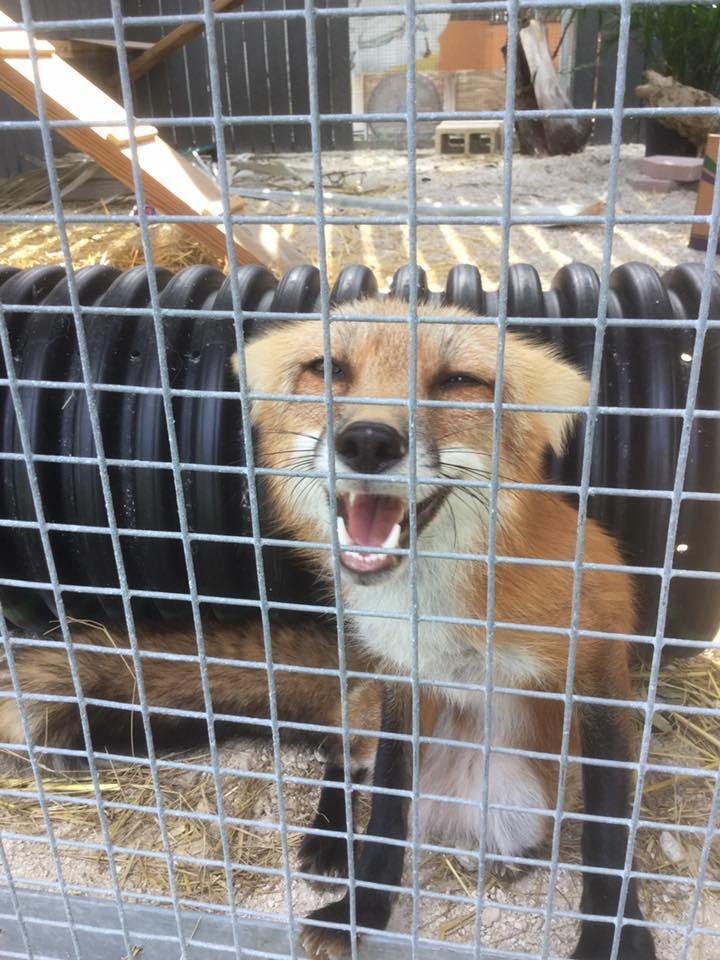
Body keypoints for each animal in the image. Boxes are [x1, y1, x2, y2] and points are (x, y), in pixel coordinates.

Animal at [244, 298, 657, 960]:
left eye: (458, 381)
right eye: (328, 369)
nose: (368, 440)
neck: (440, 607)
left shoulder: (597, 674)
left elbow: (608, 832)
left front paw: (614, 936)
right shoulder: (401, 678)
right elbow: (387, 811)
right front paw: (363, 909)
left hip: (521, 789)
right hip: (370, 714)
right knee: (342, 755)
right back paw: (330, 838)